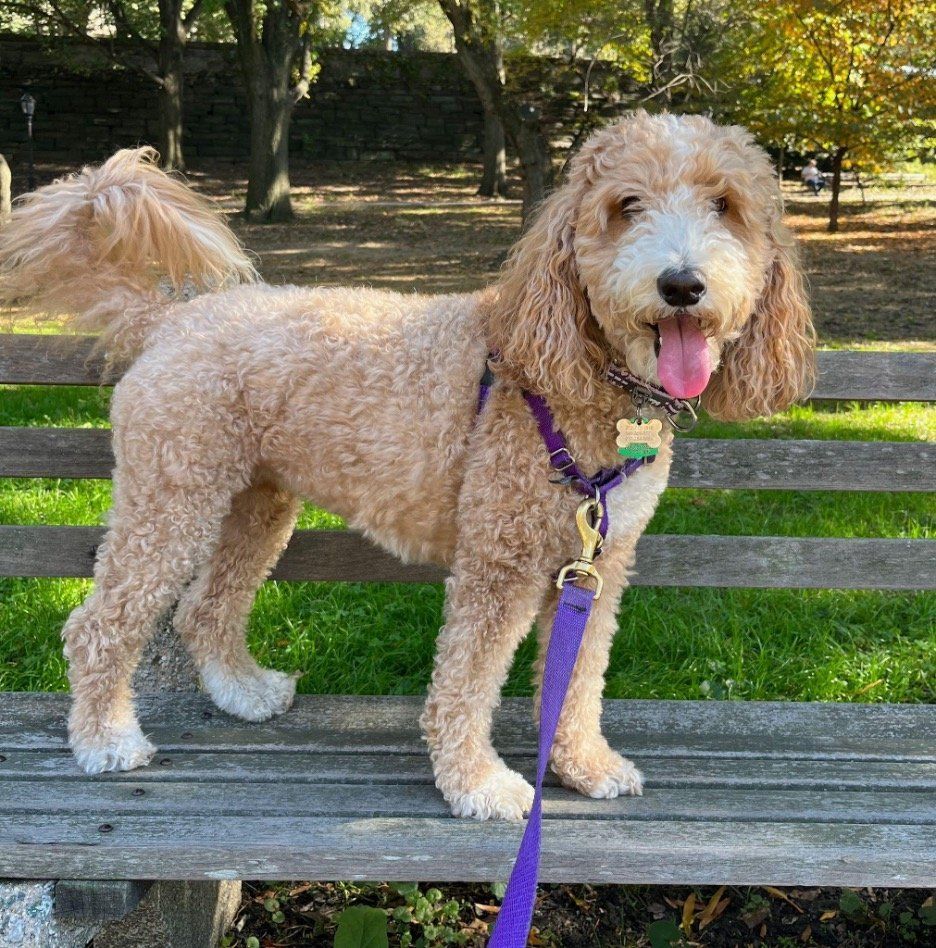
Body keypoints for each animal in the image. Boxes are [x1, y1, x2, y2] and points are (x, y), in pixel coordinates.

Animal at [0, 113, 812, 824]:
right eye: (626, 206)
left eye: (726, 205)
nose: (681, 284)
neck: (583, 377)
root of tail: (167, 320)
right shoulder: (500, 560)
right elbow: (467, 684)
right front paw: (478, 784)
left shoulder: (598, 564)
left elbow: (578, 681)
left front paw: (583, 765)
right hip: (172, 497)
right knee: (100, 624)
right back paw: (106, 738)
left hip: (256, 504)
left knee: (206, 606)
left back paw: (242, 691)